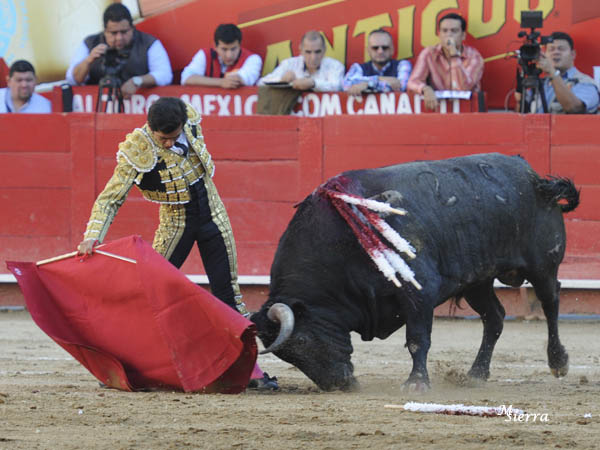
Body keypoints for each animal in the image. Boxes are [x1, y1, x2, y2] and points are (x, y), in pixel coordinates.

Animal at [250, 154, 580, 390]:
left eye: (302, 342)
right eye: (286, 355)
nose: (338, 384)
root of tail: (533, 176)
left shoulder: (419, 291)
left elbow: (417, 339)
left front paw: (416, 383)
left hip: (542, 265)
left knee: (550, 302)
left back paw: (558, 361)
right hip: (477, 280)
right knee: (494, 317)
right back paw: (476, 373)